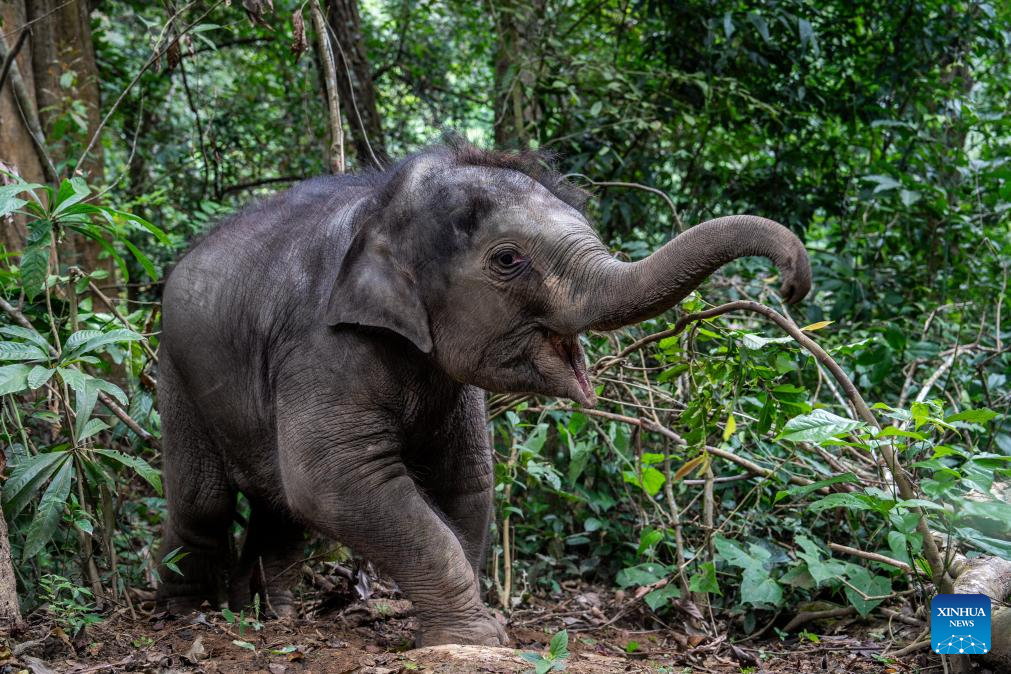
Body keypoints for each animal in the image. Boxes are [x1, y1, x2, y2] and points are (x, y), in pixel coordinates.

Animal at [153, 138, 808, 646]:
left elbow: (465, 477)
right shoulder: (321, 345)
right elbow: (332, 479)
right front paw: (477, 637)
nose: (791, 283)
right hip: (174, 370)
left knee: (279, 509)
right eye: (508, 259)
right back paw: (186, 614)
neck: (380, 208)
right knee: (206, 500)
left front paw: (468, 627)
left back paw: (270, 616)